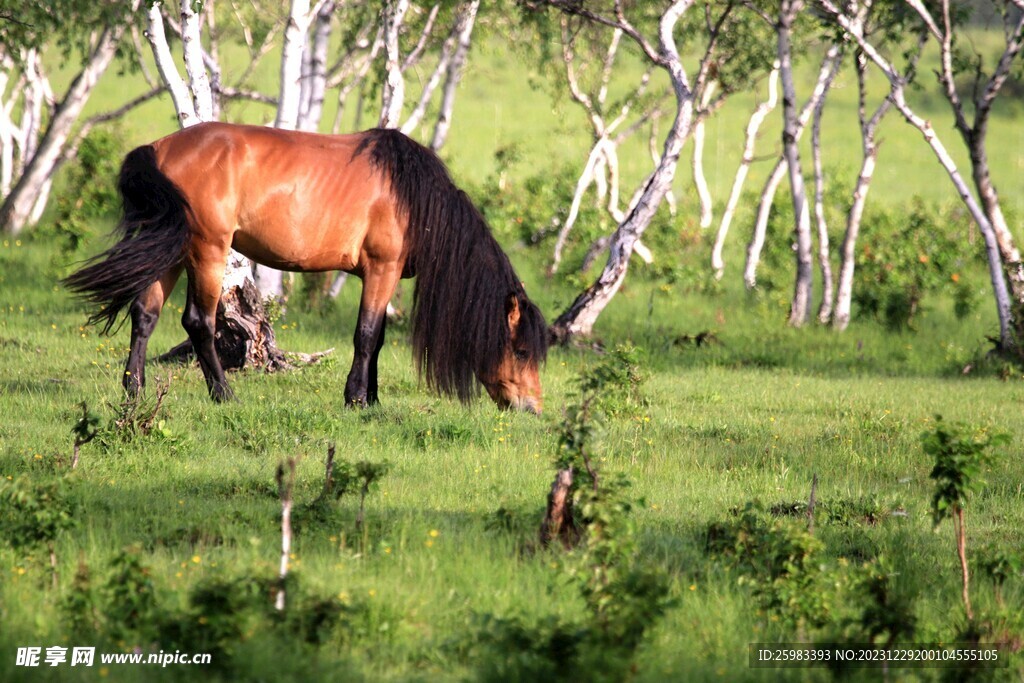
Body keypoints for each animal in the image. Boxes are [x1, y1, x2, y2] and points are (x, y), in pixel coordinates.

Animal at [65, 119, 548, 411]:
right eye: (522, 351)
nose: (532, 408)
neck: (414, 199)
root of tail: (160, 148)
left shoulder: (382, 275)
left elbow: (378, 338)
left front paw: (371, 399)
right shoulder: (382, 269)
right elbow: (366, 335)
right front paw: (356, 399)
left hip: (173, 249)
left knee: (144, 316)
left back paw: (134, 391)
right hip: (207, 250)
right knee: (199, 322)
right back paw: (224, 394)